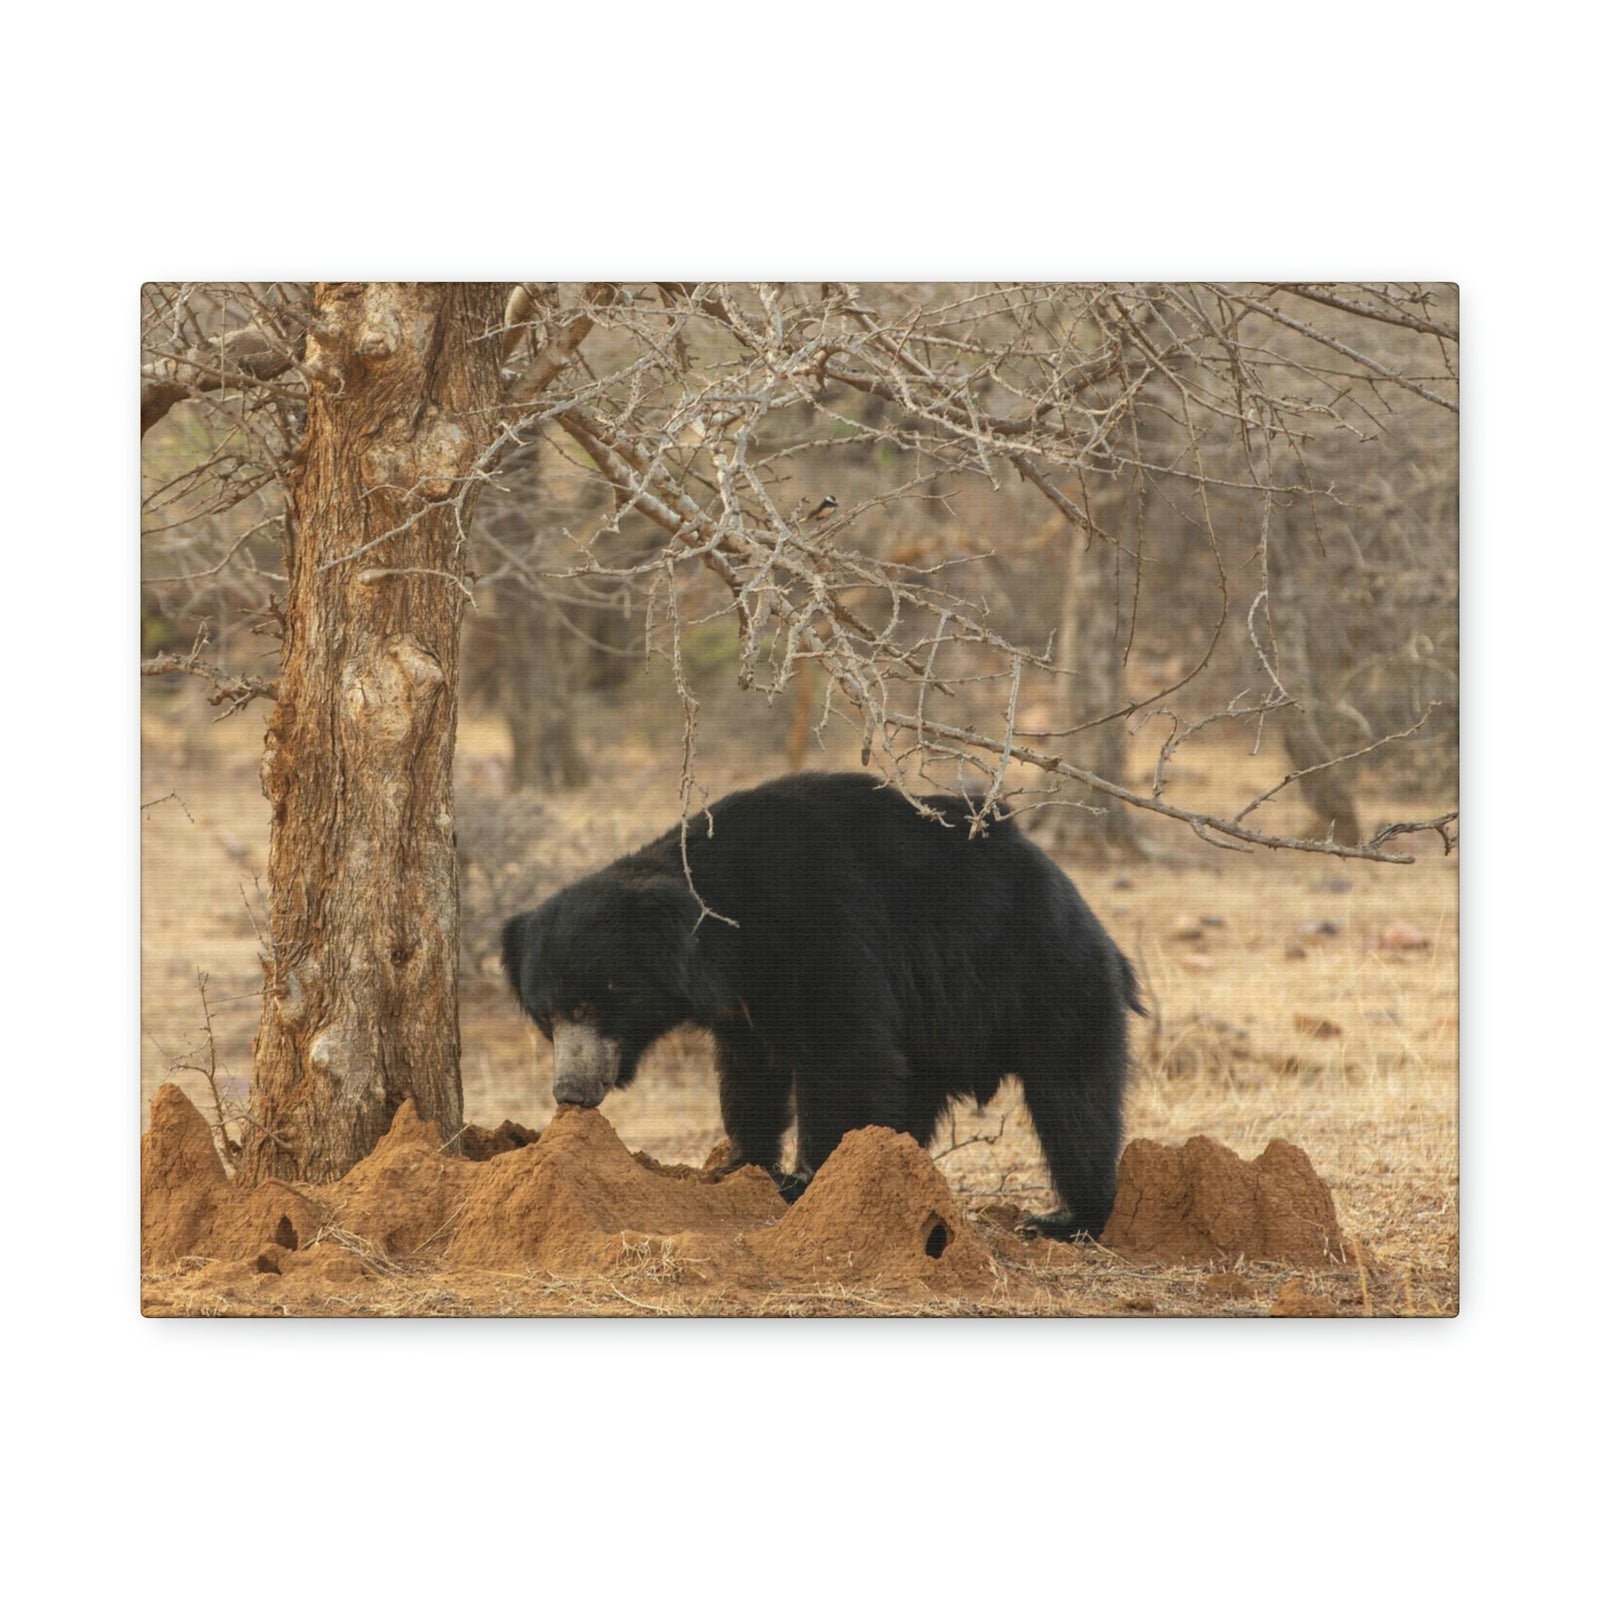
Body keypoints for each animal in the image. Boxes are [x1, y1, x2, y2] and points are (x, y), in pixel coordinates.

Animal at [500, 771, 1143, 1239]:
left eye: (593, 1003)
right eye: (546, 1016)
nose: (571, 1092)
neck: (724, 935)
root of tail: (1091, 921)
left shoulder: (820, 929)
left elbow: (846, 1054)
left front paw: (808, 1183)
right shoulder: (741, 1004)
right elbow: (750, 1075)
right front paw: (741, 1167)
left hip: (1045, 984)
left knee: (1073, 1101)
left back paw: (1066, 1219)